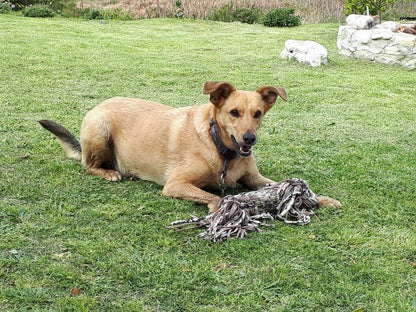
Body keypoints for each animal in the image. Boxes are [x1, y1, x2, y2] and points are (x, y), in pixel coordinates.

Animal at [37, 81, 340, 211]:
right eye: (234, 113)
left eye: (258, 114)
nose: (249, 139)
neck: (221, 151)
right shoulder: (176, 184)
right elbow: (216, 197)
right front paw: (219, 211)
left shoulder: (254, 178)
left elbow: (284, 185)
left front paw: (321, 199)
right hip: (100, 128)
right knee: (88, 165)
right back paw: (109, 172)